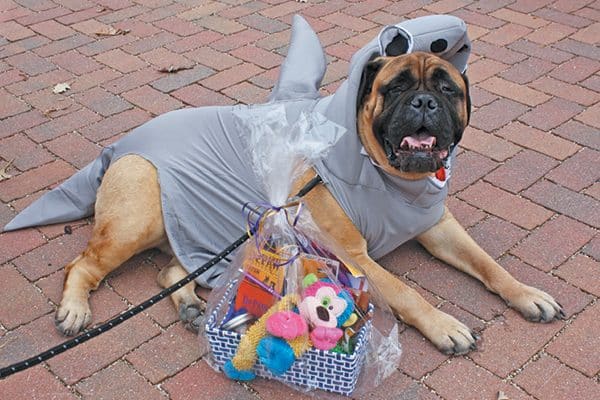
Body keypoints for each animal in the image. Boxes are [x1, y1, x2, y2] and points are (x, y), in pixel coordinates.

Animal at [50, 51, 564, 354]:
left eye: (446, 88)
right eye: (396, 87)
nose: (423, 102)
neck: (387, 174)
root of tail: (118, 147)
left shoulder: (439, 227)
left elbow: (489, 264)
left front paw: (527, 294)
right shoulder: (353, 255)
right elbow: (405, 292)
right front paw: (444, 324)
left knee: (171, 269)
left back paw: (190, 305)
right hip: (137, 221)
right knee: (81, 263)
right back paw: (75, 309)